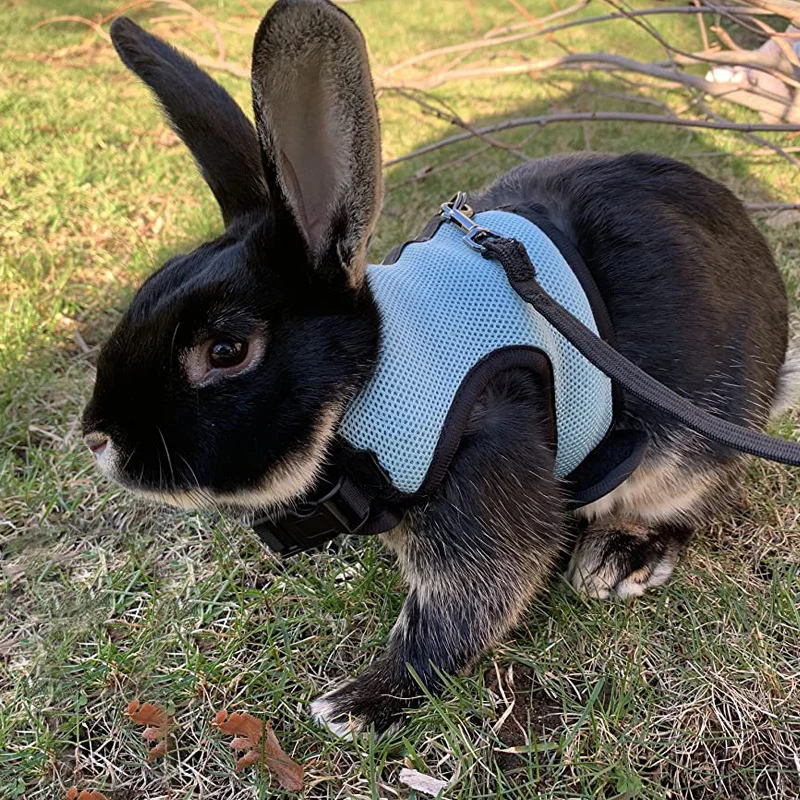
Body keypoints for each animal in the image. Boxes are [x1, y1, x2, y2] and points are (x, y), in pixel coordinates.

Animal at [83, 0, 795, 737]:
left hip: (685, 448)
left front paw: (356, 705)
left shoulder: (483, 471)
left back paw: (620, 558)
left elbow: (460, 611)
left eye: (225, 351)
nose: (98, 438)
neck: (369, 384)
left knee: (694, 501)